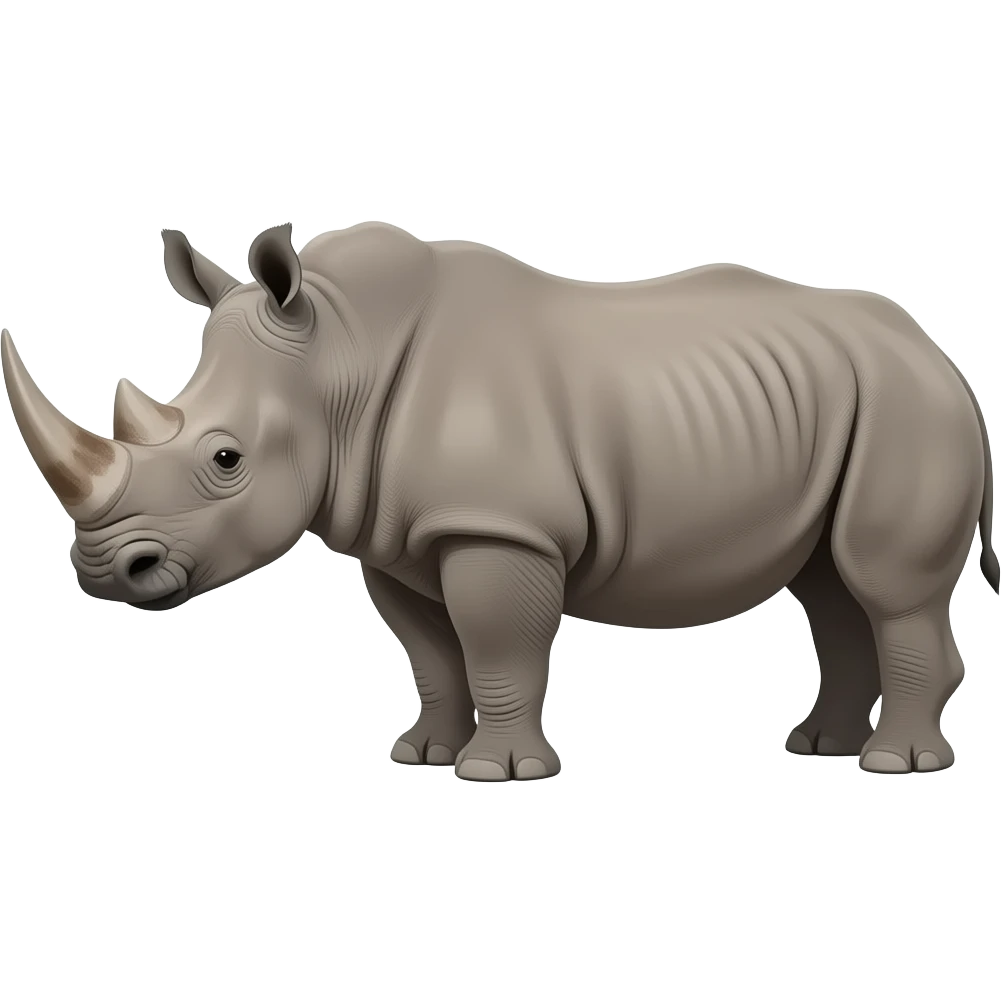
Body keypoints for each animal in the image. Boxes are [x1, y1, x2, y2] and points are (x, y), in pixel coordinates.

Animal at [2, 222, 997, 780]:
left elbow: (494, 645)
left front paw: (498, 773)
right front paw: (422, 756)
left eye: (225, 458)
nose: (106, 570)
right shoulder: (398, 535)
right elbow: (432, 654)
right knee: (830, 585)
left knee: (883, 586)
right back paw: (818, 749)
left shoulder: (498, 528)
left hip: (909, 408)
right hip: (850, 403)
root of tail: (947, 360)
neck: (338, 355)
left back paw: (895, 765)